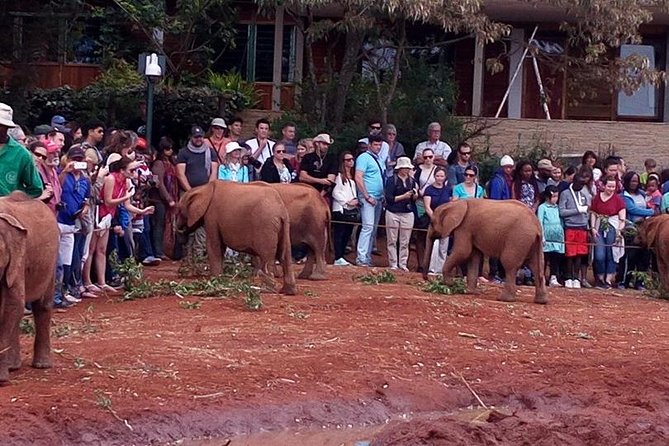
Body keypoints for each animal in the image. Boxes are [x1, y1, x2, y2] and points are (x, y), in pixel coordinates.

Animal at [0, 192, 59, 384]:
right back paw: (13, 366)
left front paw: (1, 380)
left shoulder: (17, 257)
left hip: (52, 260)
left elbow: (12, 304)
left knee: (42, 307)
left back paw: (42, 365)